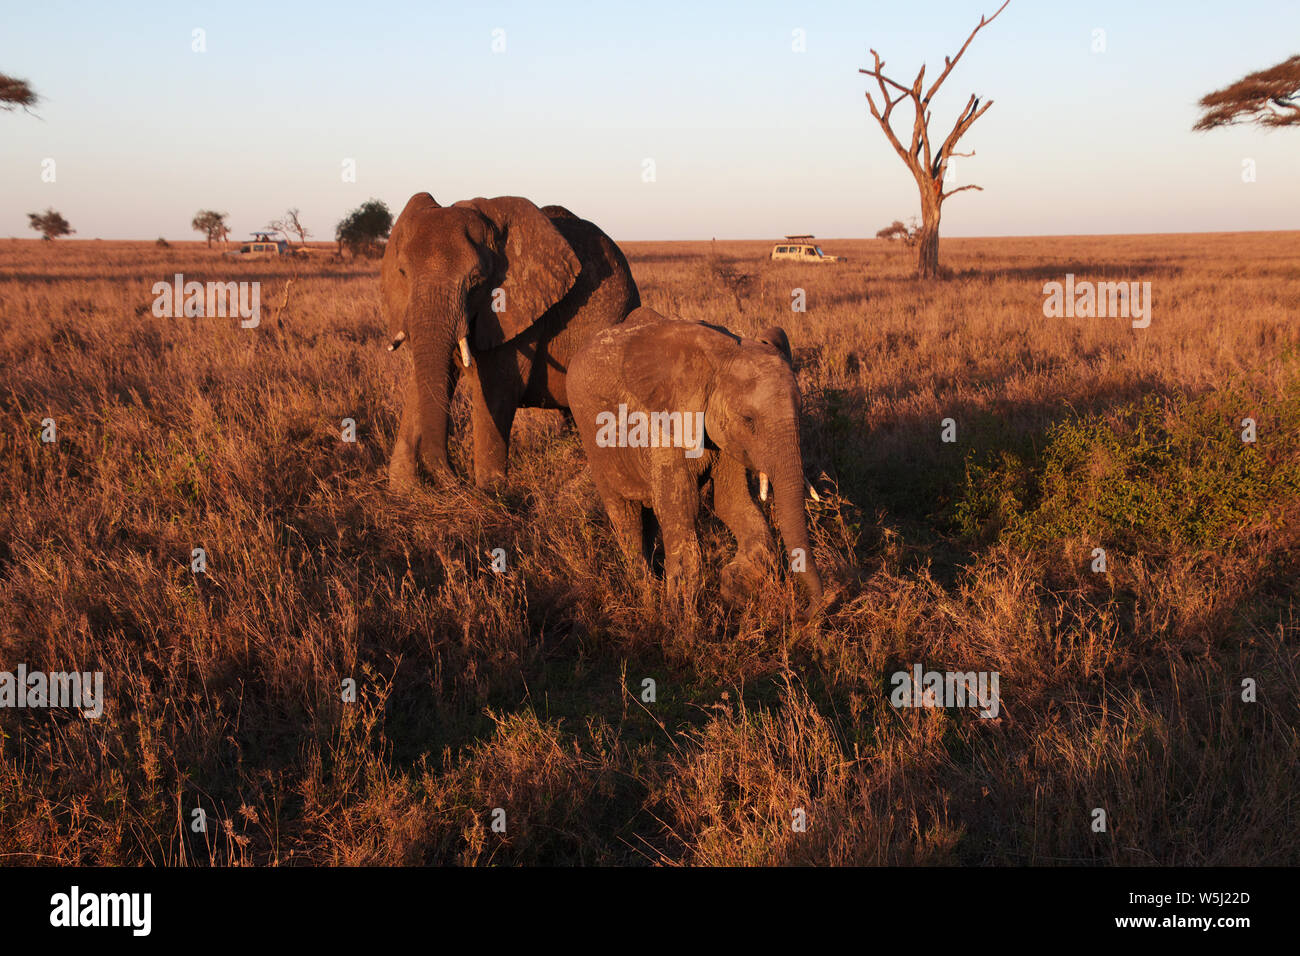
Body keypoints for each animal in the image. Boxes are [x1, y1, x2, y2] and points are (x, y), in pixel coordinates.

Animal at [382, 193, 640, 489]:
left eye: (476, 280)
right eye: (402, 273)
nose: (454, 477)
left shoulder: (519, 310)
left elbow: (499, 385)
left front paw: (489, 491)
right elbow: (425, 378)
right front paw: (402, 488)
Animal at [567, 307, 824, 615]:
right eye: (748, 420)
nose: (808, 612)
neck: (720, 357)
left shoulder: (725, 437)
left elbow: (732, 502)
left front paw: (733, 588)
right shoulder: (663, 426)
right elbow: (682, 512)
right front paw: (680, 619)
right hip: (594, 441)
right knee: (626, 517)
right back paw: (646, 592)